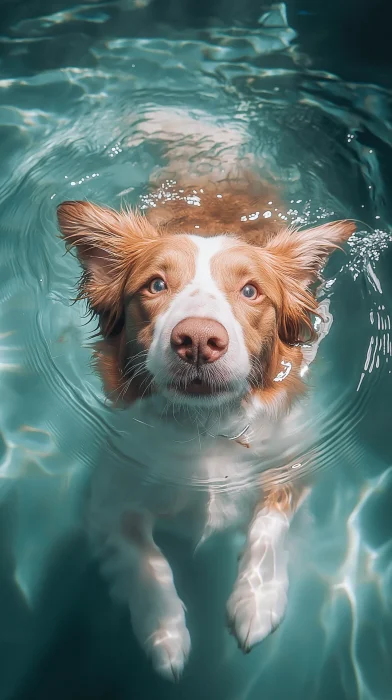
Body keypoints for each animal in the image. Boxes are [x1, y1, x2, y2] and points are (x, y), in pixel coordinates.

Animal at [56, 176, 354, 684]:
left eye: (251, 291)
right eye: (156, 285)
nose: (198, 340)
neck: (204, 427)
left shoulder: (295, 464)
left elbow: (270, 524)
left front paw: (258, 599)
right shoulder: (106, 503)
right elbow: (145, 559)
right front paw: (164, 633)